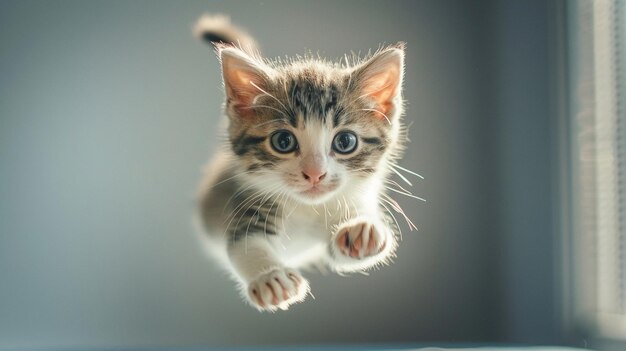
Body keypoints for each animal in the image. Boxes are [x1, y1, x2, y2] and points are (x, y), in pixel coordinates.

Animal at [193, 14, 412, 314]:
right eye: (283, 141)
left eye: (345, 141)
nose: (315, 174)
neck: (307, 209)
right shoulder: (246, 204)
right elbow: (244, 243)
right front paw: (269, 277)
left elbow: (342, 252)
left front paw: (362, 228)